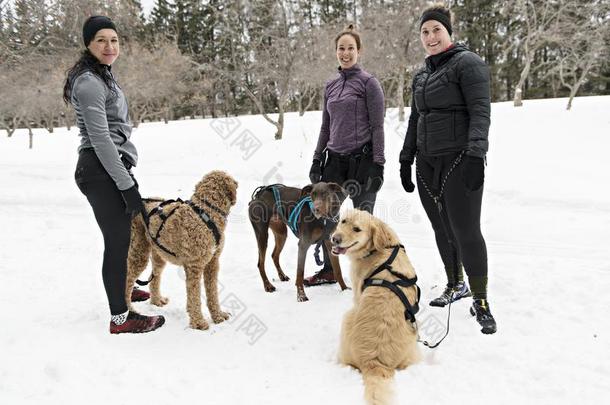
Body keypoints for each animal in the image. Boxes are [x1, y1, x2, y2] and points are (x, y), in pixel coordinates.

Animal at [124, 169, 236, 330]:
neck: (206, 211)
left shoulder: (213, 262)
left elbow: (213, 292)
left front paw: (218, 316)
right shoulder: (194, 266)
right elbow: (194, 296)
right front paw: (198, 322)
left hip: (158, 253)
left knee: (154, 277)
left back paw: (157, 300)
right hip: (139, 251)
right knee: (127, 280)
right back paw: (130, 310)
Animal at [330, 210, 416, 402]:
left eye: (357, 229)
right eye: (343, 221)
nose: (335, 239)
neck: (379, 248)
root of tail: (374, 362)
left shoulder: (357, 291)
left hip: (347, 317)